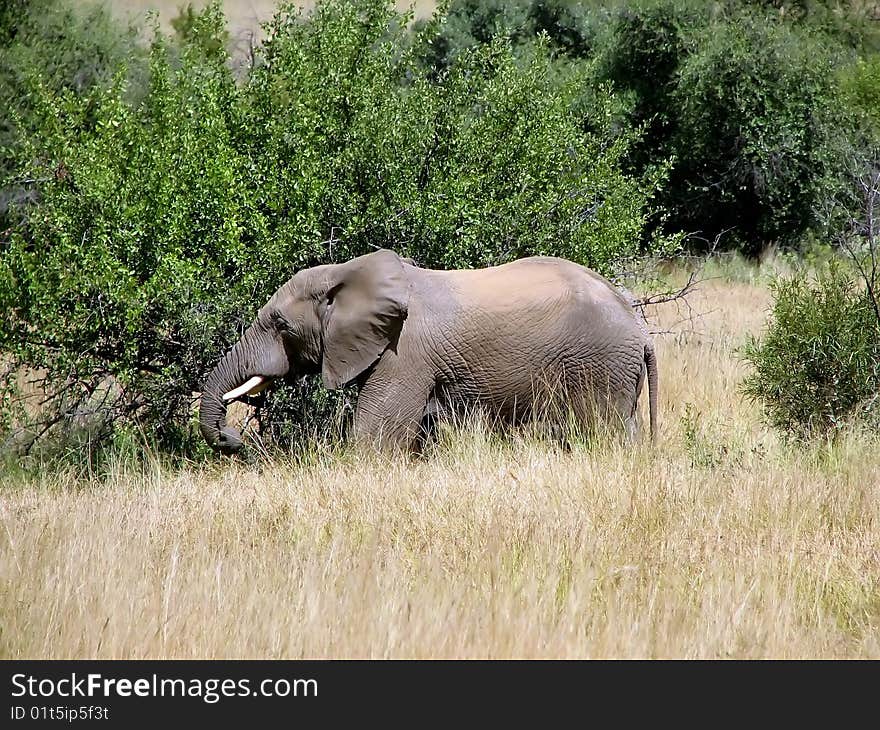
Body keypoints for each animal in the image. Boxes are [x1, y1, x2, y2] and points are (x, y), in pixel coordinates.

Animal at [196, 250, 656, 456]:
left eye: (281, 324)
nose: (234, 437)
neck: (348, 273)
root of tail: (638, 323)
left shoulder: (405, 354)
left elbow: (375, 437)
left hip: (600, 364)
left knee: (602, 431)